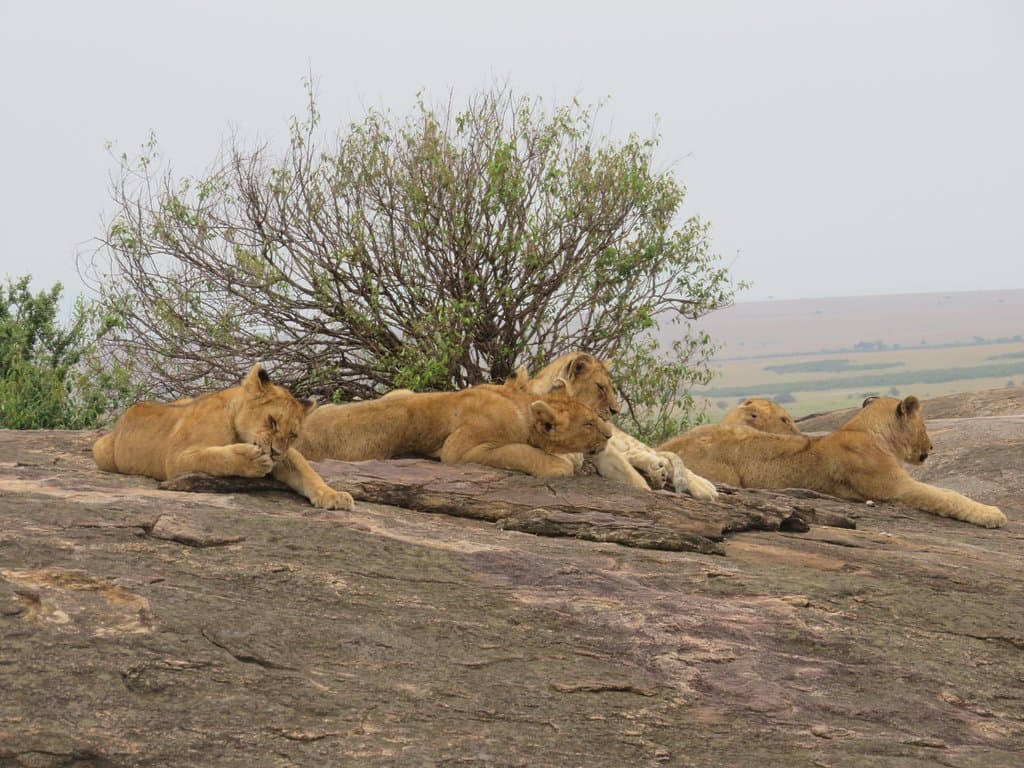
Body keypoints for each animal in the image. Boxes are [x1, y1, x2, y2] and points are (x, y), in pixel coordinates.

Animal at [93, 364, 356, 512]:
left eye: (293, 434)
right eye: (272, 421)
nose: (275, 453)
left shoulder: (287, 457)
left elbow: (307, 472)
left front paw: (333, 495)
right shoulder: (175, 458)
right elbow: (214, 457)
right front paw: (252, 460)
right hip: (101, 451)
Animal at [292, 382, 610, 479]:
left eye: (595, 417)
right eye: (589, 423)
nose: (609, 434)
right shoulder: (460, 449)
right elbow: (520, 451)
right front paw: (561, 464)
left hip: (400, 392)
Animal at [659, 397, 1003, 528]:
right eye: (925, 425)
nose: (931, 446)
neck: (866, 430)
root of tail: (665, 446)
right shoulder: (895, 488)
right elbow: (948, 496)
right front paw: (992, 514)